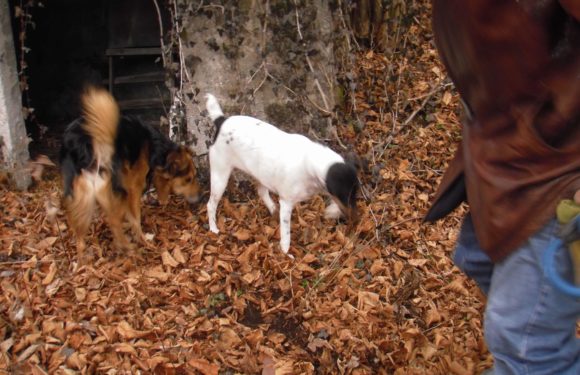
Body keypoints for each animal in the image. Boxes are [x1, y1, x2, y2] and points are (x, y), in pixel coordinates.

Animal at [59, 86, 199, 256]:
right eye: (188, 179)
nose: (200, 198)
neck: (153, 148)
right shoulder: (133, 188)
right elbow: (134, 218)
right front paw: (140, 237)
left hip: (82, 193)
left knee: (80, 231)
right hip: (112, 190)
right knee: (112, 221)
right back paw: (131, 247)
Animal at [204, 94, 358, 258]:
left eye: (355, 194)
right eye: (346, 196)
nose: (356, 219)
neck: (309, 162)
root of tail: (221, 120)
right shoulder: (286, 203)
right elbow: (286, 235)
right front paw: (285, 253)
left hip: (260, 173)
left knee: (262, 192)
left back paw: (272, 209)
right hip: (220, 176)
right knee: (211, 205)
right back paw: (213, 229)